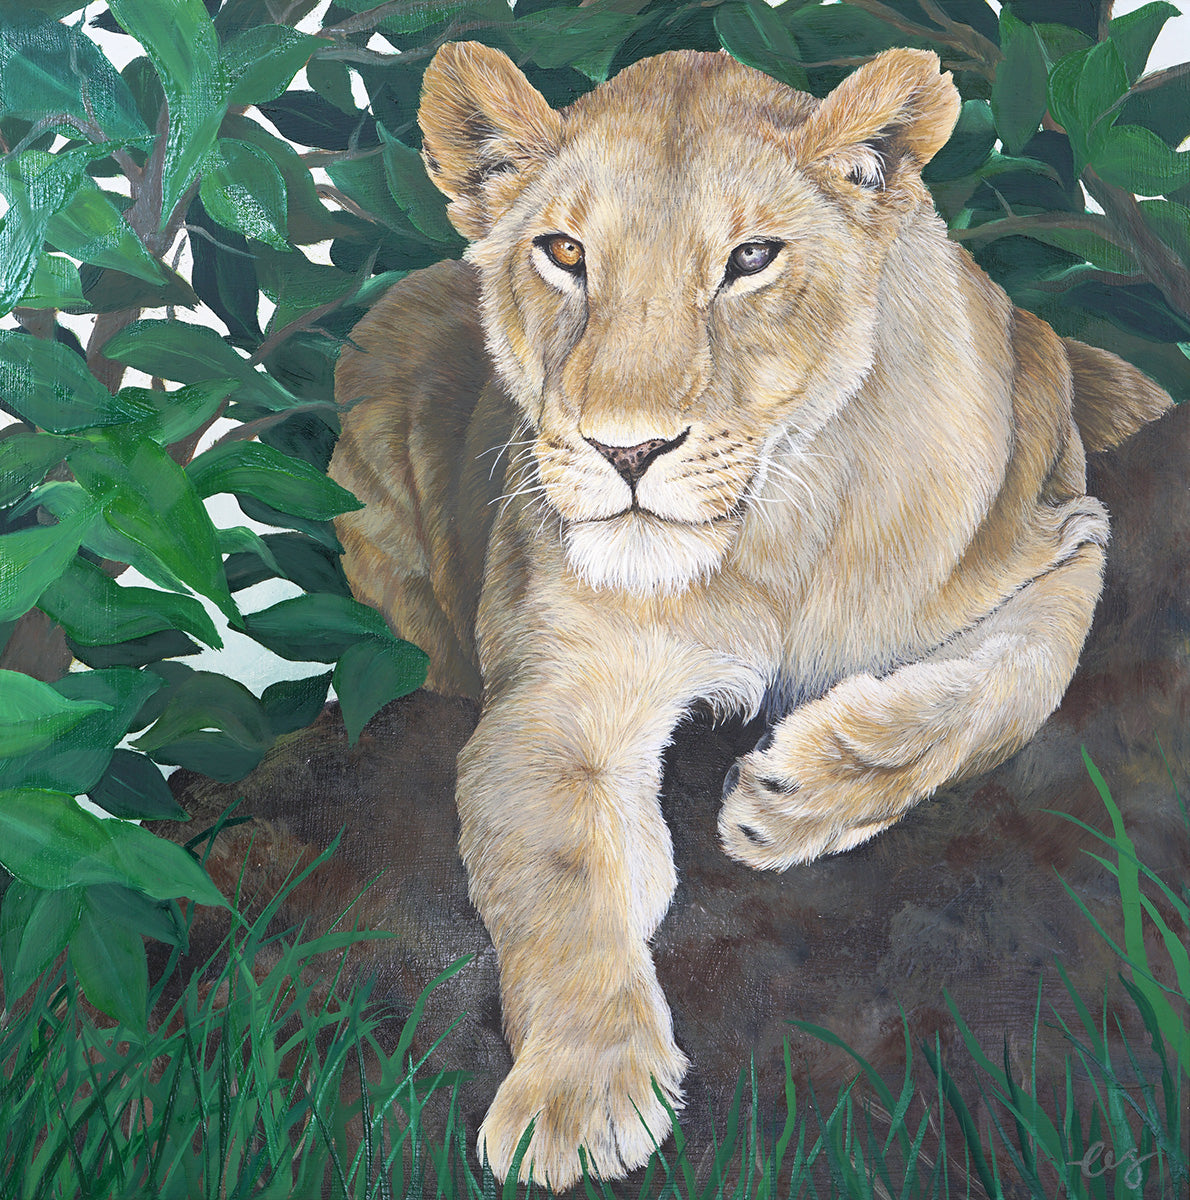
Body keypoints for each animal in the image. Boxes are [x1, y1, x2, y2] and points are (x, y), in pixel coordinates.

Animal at [329, 42, 1171, 1188]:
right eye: (563, 252)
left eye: (751, 258)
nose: (626, 449)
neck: (769, 544)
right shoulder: (552, 703)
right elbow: (560, 881)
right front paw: (578, 1095)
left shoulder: (1064, 528)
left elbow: (1019, 676)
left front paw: (803, 795)